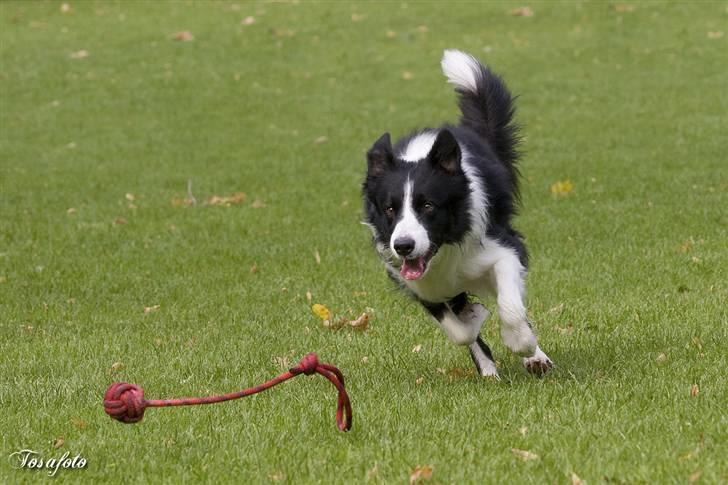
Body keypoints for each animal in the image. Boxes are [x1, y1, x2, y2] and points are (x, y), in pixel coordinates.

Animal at [362, 49, 556, 376]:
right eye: (389, 209)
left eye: (428, 206)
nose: (403, 246)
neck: (445, 248)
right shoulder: (418, 283)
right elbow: (460, 332)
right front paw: (475, 318)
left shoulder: (503, 247)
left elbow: (510, 306)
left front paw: (523, 344)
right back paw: (488, 369)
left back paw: (534, 356)